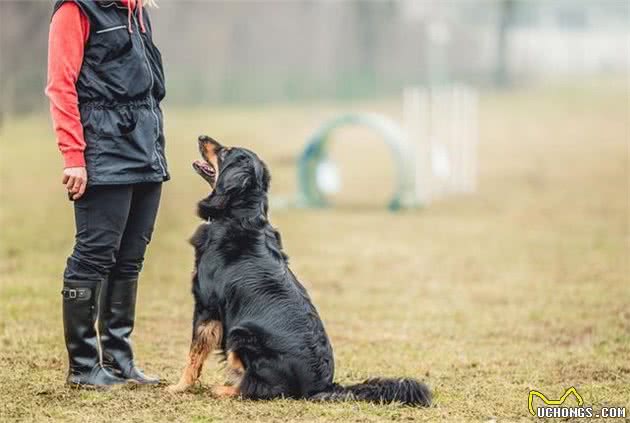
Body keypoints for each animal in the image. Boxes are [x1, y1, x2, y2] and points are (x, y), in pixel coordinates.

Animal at [167, 137, 434, 408]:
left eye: (225, 151)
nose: (202, 137)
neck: (239, 214)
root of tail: (322, 386)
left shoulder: (206, 307)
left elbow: (193, 355)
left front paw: (179, 387)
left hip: (241, 334)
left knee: (261, 388)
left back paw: (223, 389)